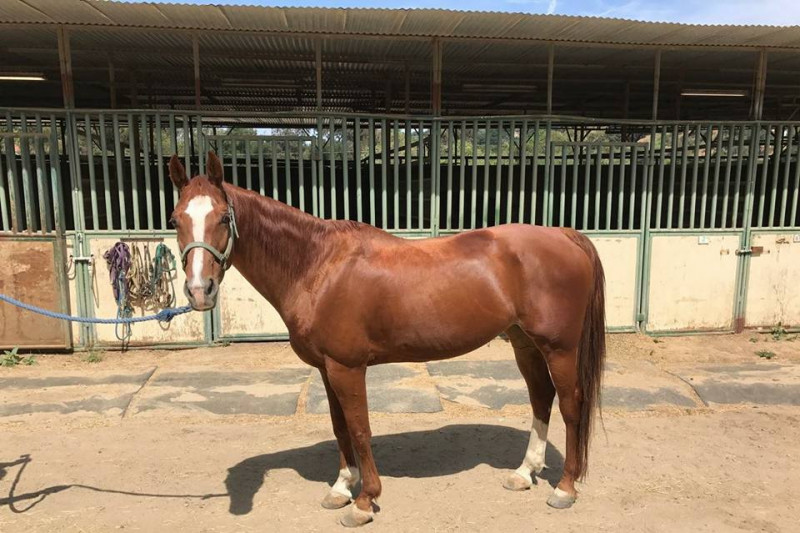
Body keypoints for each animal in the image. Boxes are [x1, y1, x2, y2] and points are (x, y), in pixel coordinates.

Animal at [168, 151, 606, 527]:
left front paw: (364, 502)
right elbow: (339, 426)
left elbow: (360, 429)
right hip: (523, 342)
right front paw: (342, 488)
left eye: (223, 218)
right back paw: (524, 473)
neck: (318, 266)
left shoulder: (348, 367)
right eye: (175, 219)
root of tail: (565, 235)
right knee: (541, 399)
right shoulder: (327, 368)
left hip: (559, 347)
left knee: (570, 405)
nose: (199, 291)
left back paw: (564, 488)